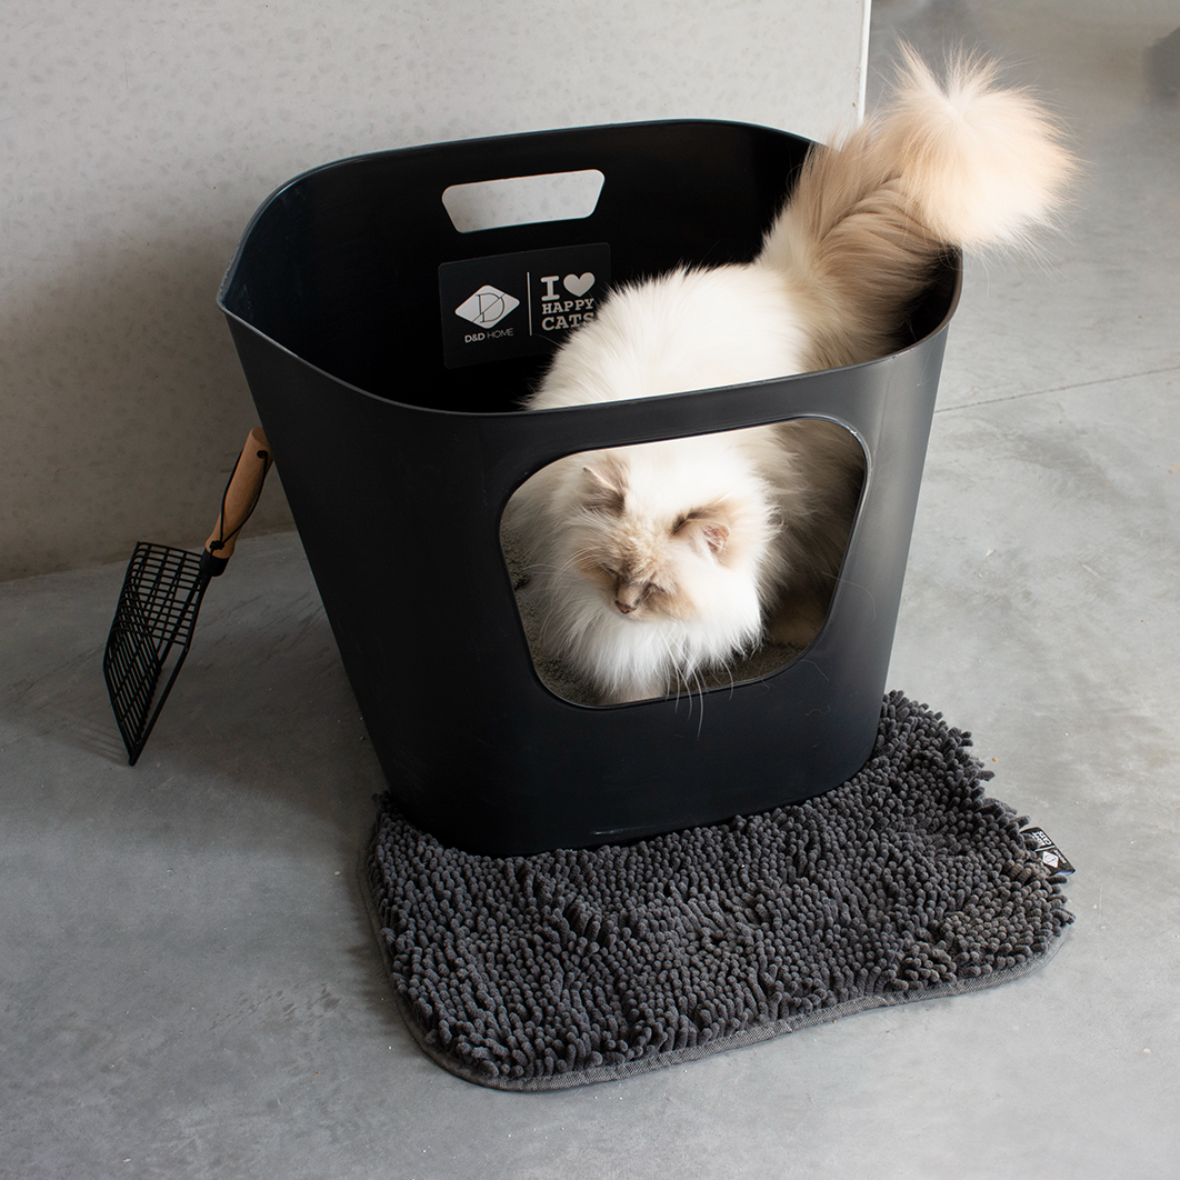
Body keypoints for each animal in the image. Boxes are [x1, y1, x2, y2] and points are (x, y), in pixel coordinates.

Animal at [503, 47, 1075, 705]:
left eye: (654, 588)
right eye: (610, 572)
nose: (623, 606)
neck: (666, 441)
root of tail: (789, 278)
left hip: (819, 494)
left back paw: (795, 628)